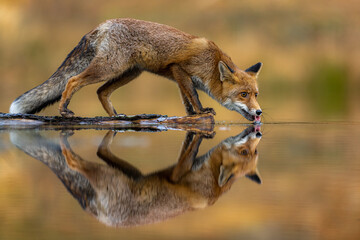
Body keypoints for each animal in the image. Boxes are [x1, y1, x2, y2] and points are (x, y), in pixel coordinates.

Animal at [8, 18, 262, 122]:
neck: (211, 61)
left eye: (256, 95)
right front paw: (201, 112)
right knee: (72, 81)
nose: (259, 112)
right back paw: (64, 110)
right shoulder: (179, 69)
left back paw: (117, 118)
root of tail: (104, 24)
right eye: (243, 95)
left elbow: (186, 99)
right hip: (109, 68)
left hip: (129, 72)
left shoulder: (179, 77)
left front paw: (192, 115)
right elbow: (194, 96)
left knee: (101, 92)